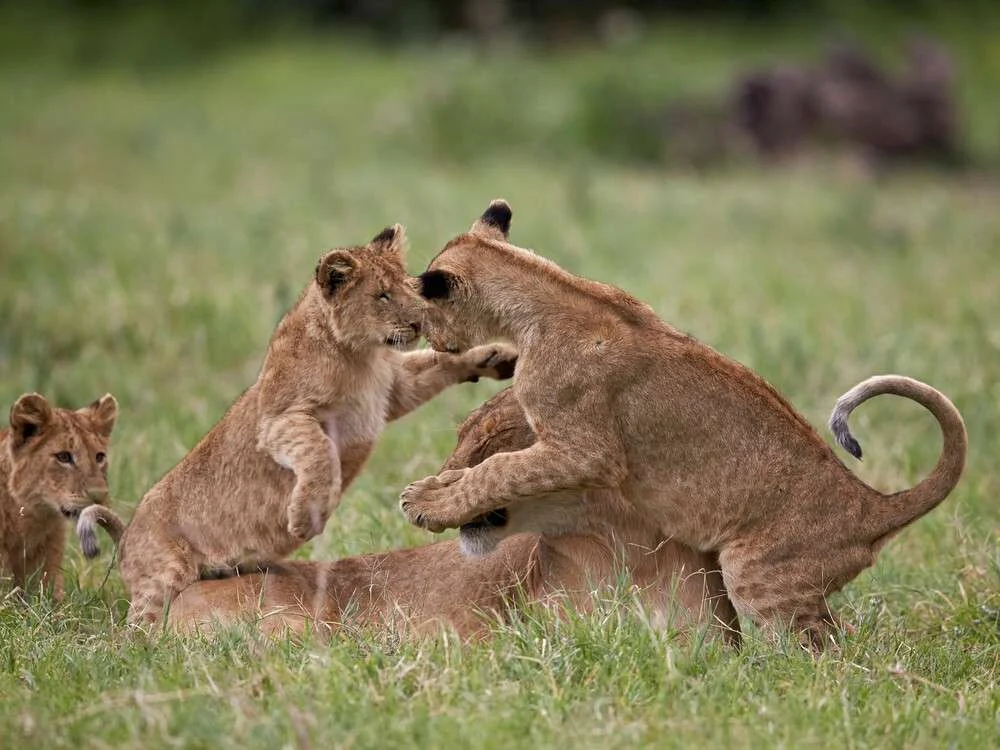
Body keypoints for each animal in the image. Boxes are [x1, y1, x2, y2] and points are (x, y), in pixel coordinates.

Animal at [117, 224, 516, 625]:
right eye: (382, 295)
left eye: (409, 288)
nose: (419, 322)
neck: (360, 355)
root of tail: (126, 537)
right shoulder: (282, 419)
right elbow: (320, 453)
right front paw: (306, 517)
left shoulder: (394, 389)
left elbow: (436, 362)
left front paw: (497, 356)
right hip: (162, 574)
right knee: (135, 625)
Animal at [398, 199, 967, 649]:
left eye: (426, 312)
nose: (431, 340)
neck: (551, 296)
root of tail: (871, 506)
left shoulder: (585, 450)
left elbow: (500, 471)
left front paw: (426, 500)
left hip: (758, 574)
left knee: (820, 651)